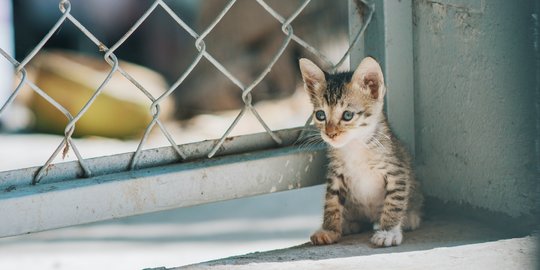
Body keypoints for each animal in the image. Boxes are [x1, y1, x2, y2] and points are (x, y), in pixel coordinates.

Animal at [300, 58, 422, 248]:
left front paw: (388, 232)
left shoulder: (397, 169)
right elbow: (331, 201)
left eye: (347, 115)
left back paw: (409, 217)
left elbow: (394, 201)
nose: (330, 134)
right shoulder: (336, 173)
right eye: (320, 115)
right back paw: (349, 223)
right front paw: (329, 229)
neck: (355, 145)